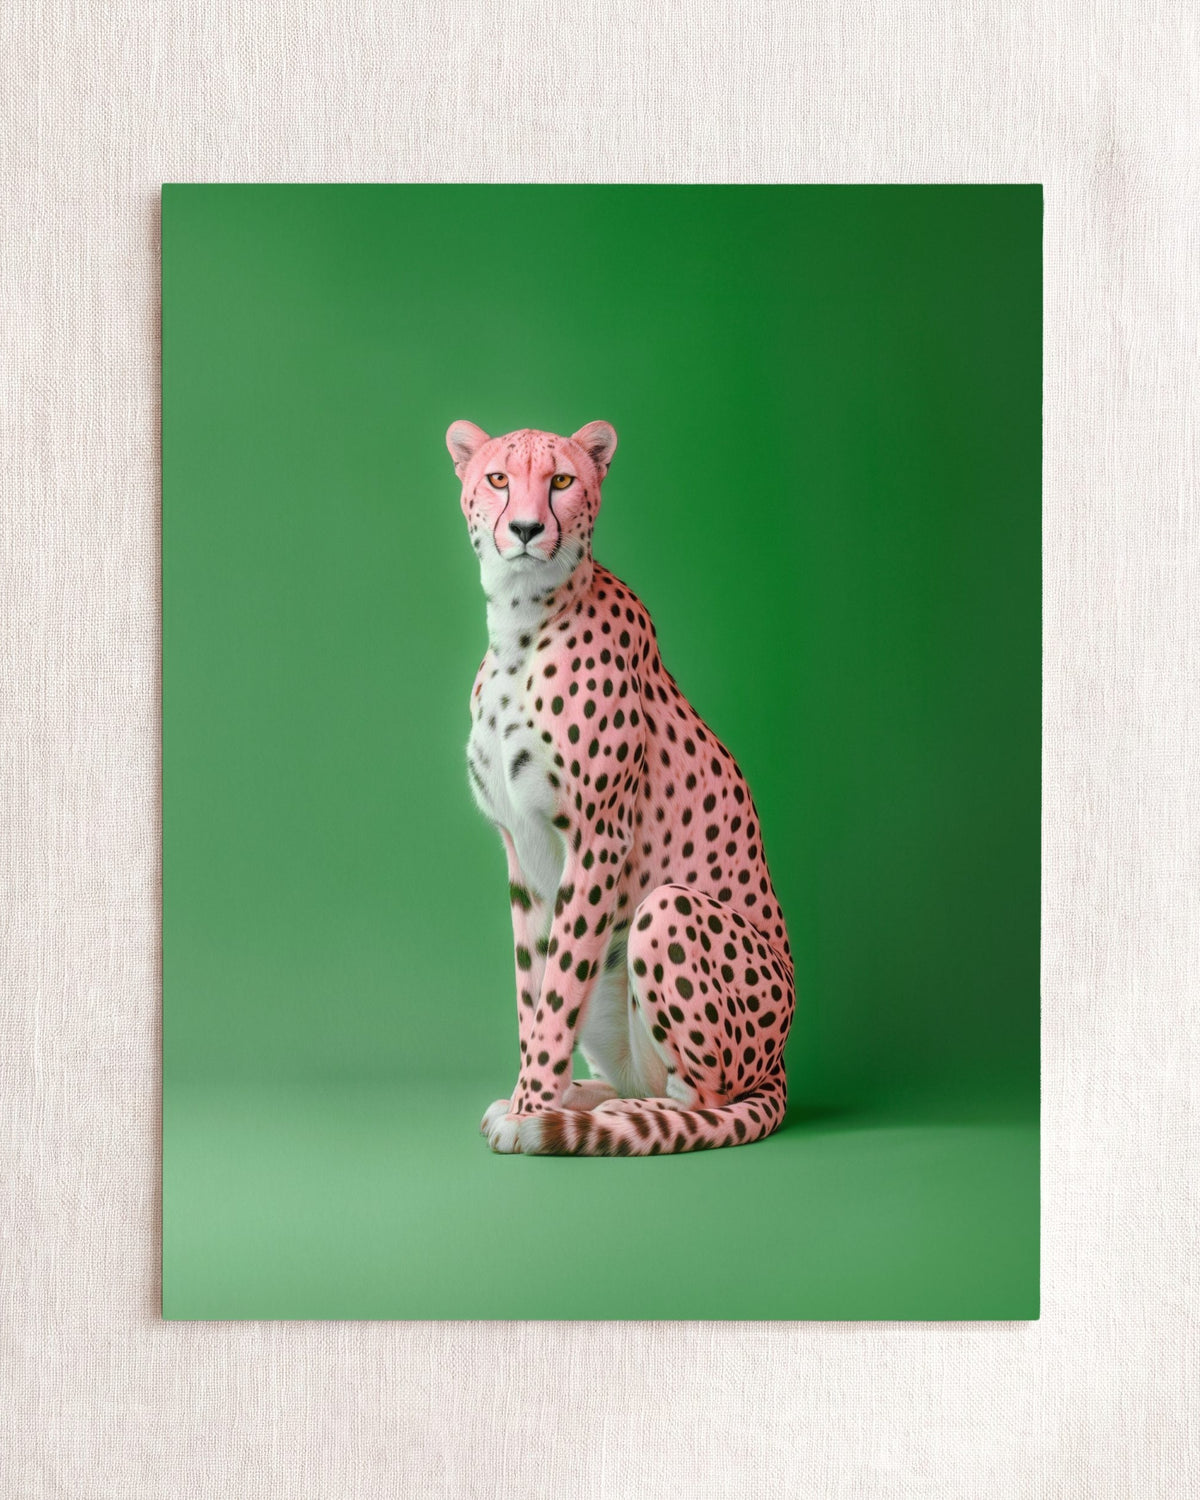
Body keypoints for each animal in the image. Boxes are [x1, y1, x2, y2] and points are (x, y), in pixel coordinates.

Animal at [448, 418, 795, 1155]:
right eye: (497, 478)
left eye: (561, 480)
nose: (525, 528)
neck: (521, 623)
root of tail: (779, 1063)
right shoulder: (521, 851)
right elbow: (533, 988)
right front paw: (529, 1097)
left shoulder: (598, 838)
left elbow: (557, 994)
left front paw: (531, 1109)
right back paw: (584, 1099)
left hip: (666, 911)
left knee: (703, 1102)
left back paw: (599, 1118)